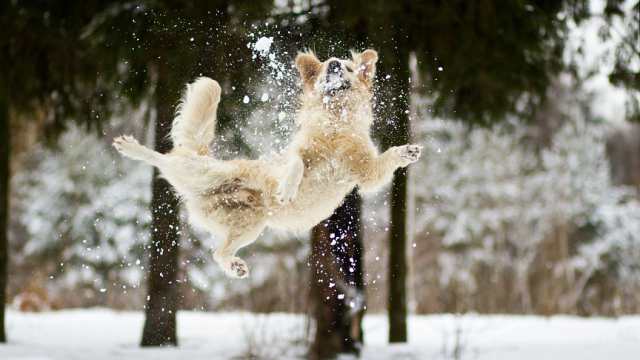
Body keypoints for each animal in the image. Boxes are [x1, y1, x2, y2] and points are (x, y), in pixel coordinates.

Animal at [112, 49, 422, 278]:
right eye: (326, 67)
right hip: (206, 173)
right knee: (167, 158)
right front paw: (287, 189)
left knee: (218, 252)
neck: (336, 123)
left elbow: (386, 160)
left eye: (346, 66)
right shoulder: (297, 152)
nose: (334, 63)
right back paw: (131, 147)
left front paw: (407, 151)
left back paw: (234, 266)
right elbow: (296, 163)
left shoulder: (367, 172)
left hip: (251, 225)